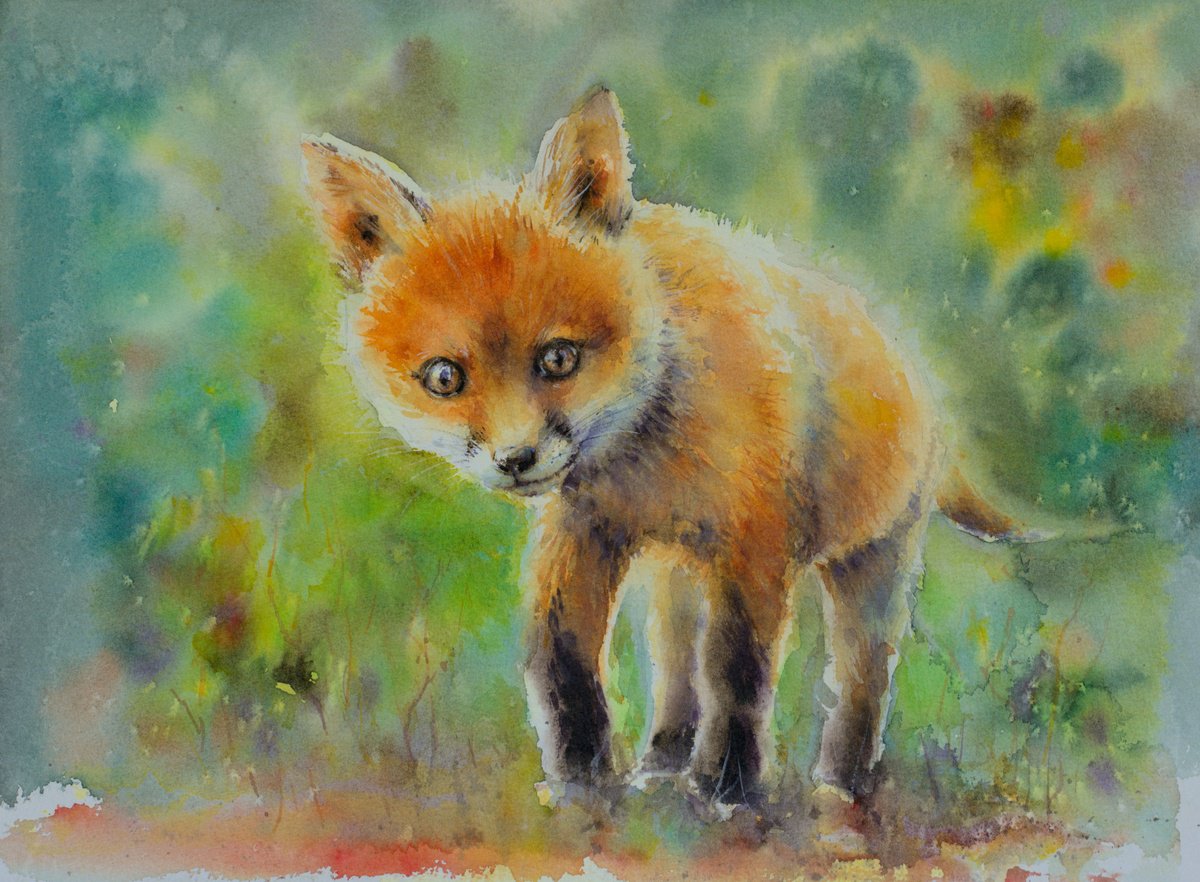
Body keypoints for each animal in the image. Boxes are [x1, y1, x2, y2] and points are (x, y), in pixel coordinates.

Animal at [299, 88, 1029, 810]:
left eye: (558, 359)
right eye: (444, 378)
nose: (516, 460)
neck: (644, 465)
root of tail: (914, 363)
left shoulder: (755, 546)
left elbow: (737, 674)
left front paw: (729, 786)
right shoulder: (582, 532)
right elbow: (562, 662)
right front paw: (581, 781)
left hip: (870, 568)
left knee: (859, 680)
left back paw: (840, 783)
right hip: (674, 576)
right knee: (675, 668)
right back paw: (663, 760)